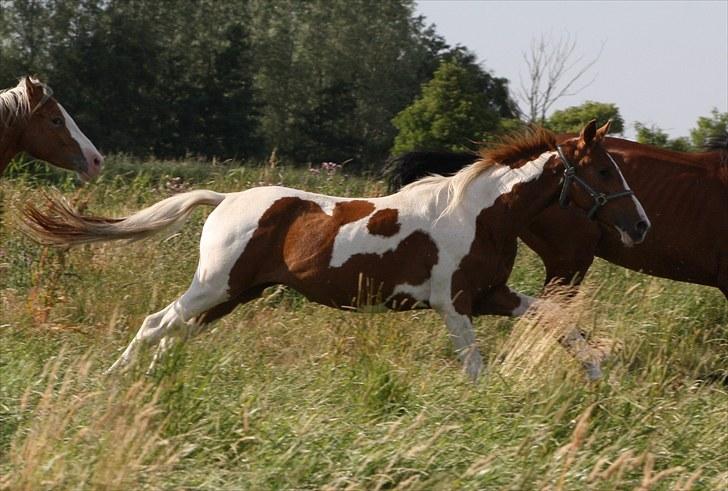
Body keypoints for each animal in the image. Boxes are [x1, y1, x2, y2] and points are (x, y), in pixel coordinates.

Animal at [21, 122, 648, 380]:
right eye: (601, 170)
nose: (640, 225)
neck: (481, 214)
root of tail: (225, 199)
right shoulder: (454, 305)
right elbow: (474, 366)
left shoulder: (493, 295)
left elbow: (556, 322)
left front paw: (598, 372)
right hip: (215, 285)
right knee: (156, 323)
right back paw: (114, 379)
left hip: (234, 295)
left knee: (176, 334)